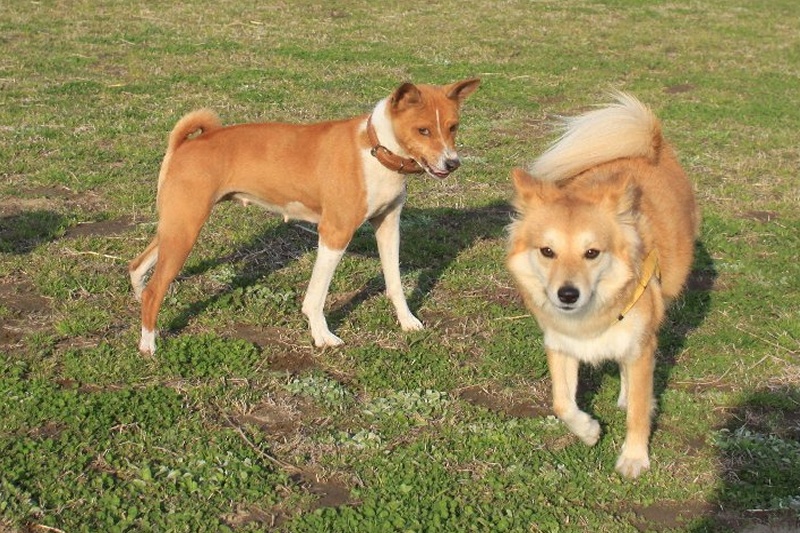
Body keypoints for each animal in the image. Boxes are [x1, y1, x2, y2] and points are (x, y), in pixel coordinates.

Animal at [129, 78, 481, 355]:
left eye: (453, 127)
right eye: (423, 130)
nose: (452, 163)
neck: (375, 150)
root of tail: (186, 145)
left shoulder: (388, 228)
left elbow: (394, 282)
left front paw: (407, 322)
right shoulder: (335, 233)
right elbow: (316, 296)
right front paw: (322, 336)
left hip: (175, 226)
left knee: (137, 267)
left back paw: (137, 300)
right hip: (186, 229)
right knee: (154, 290)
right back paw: (149, 345)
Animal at [506, 93, 698, 478]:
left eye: (592, 252)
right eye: (547, 251)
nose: (567, 294)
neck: (591, 316)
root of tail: (651, 143)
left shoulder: (640, 345)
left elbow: (639, 411)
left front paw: (634, 457)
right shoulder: (560, 343)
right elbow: (561, 402)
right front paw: (589, 430)